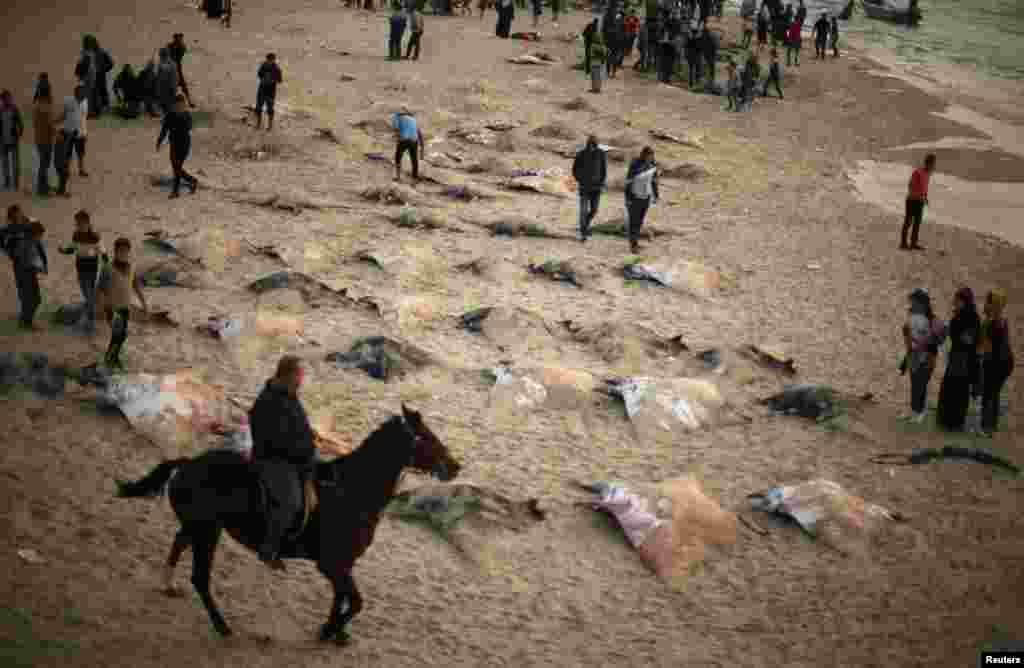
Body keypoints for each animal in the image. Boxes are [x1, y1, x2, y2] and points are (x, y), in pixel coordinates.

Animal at [115, 403, 460, 643]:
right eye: (426, 437)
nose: (455, 466)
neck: (352, 491)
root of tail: (187, 464)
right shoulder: (333, 564)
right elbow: (356, 602)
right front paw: (329, 630)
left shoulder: (341, 566)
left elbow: (343, 598)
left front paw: (335, 632)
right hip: (207, 533)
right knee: (200, 578)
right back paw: (223, 626)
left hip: (199, 527)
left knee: (178, 540)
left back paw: (168, 584)